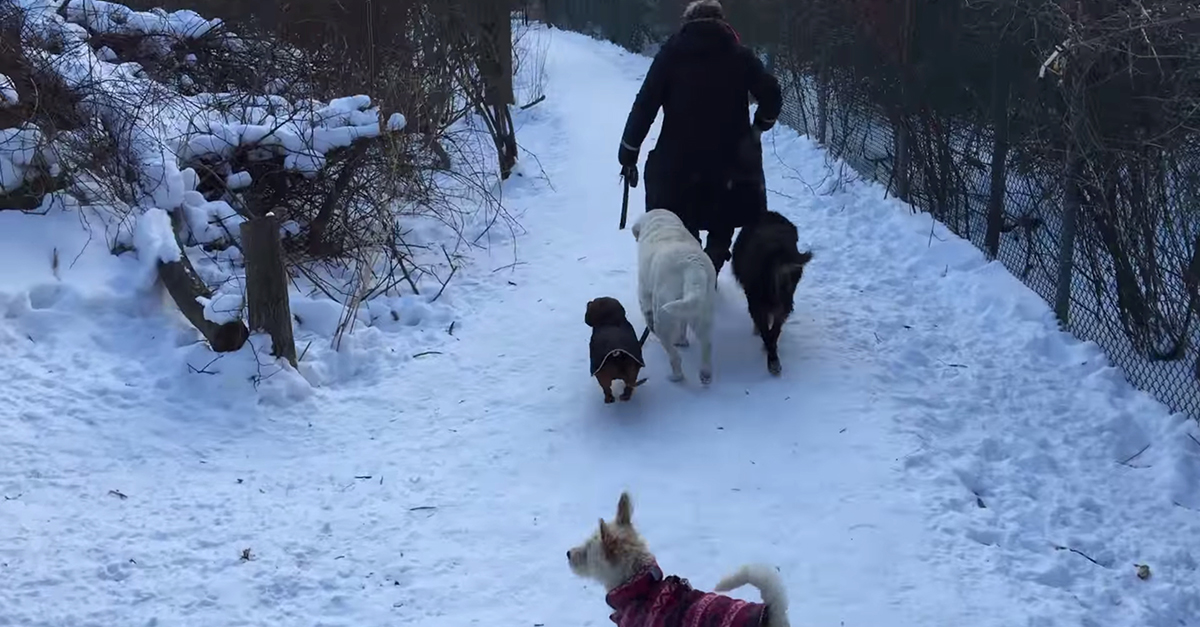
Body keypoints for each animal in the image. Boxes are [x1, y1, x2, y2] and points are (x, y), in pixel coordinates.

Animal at [628, 209, 710, 379]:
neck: (662, 223)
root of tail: (692, 265)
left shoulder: (644, 290)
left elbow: (646, 310)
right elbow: (683, 324)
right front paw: (683, 340)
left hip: (663, 317)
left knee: (674, 356)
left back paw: (676, 376)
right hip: (701, 309)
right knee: (707, 344)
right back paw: (705, 374)